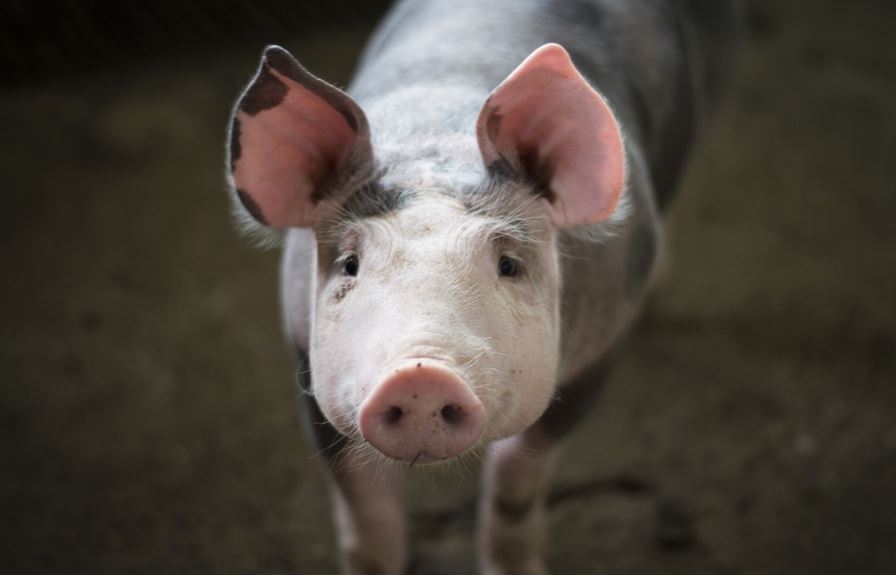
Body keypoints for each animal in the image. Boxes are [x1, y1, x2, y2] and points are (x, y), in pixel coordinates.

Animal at [226, 0, 739, 572]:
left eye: (508, 265)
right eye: (350, 264)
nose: (421, 375)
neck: (436, 139)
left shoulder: (599, 350)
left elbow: (516, 482)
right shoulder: (305, 357)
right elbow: (364, 511)